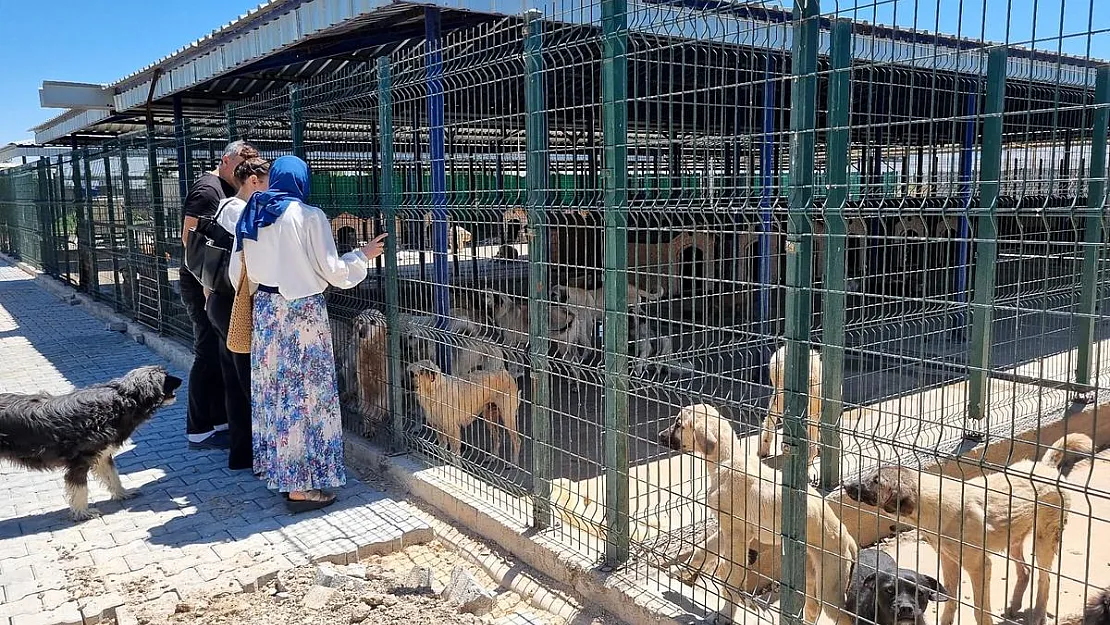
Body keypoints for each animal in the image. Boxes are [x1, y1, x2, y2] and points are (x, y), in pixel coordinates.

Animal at [0, 366, 182, 523]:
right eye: (166, 376)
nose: (181, 379)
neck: (120, 402)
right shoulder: (80, 461)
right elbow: (80, 489)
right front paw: (83, 513)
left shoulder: (102, 456)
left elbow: (113, 476)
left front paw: (123, 493)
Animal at [657, 404, 856, 621]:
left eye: (678, 424)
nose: (660, 435)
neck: (726, 459)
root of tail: (848, 538)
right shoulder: (726, 529)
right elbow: (703, 550)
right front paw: (679, 570)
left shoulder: (737, 535)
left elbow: (731, 576)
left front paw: (726, 613)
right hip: (812, 580)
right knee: (812, 611)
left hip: (829, 589)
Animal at [839, 435, 1083, 625]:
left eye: (876, 480)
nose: (846, 485)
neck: (932, 505)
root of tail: (1046, 467)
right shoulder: (949, 561)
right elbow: (951, 599)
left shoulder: (979, 566)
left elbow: (979, 610)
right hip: (1013, 539)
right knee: (1025, 571)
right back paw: (1014, 607)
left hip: (1044, 540)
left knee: (1044, 579)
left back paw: (1039, 615)